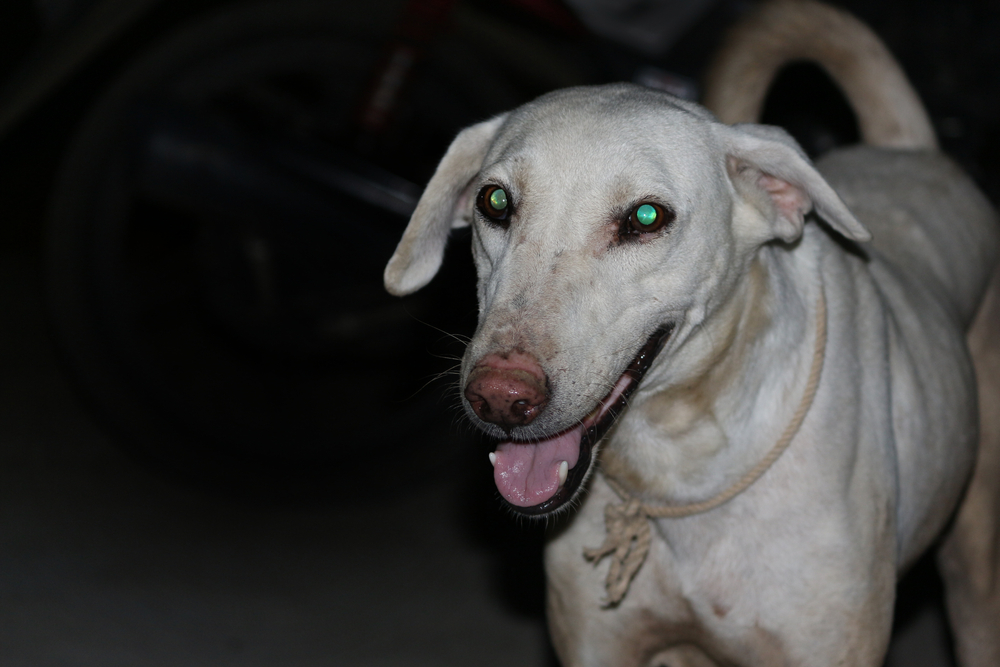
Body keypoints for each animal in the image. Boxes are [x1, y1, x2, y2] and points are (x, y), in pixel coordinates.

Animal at [382, 2, 1000, 664]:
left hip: (974, 577)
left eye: (646, 216)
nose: (499, 397)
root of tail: (907, 149)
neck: (674, 468)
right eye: (495, 201)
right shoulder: (601, 646)